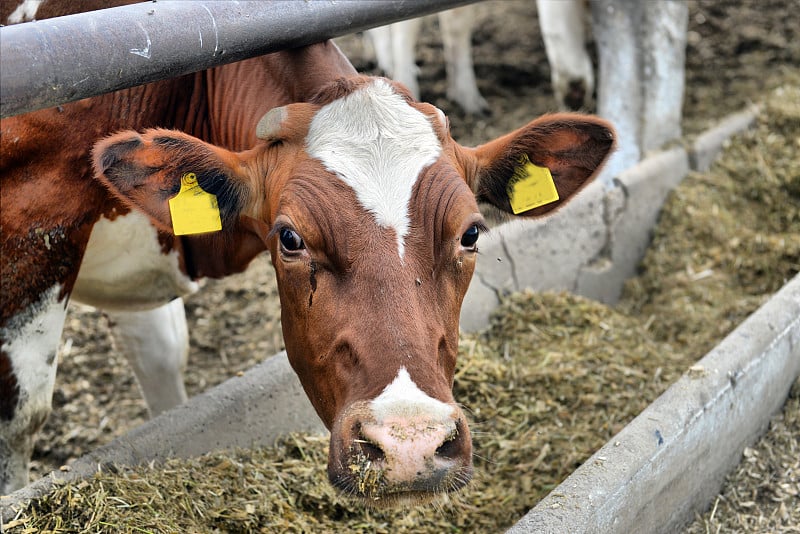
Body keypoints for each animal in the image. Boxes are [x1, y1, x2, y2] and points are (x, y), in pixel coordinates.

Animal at [0, 0, 616, 506]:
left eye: (471, 234)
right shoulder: (31, 233)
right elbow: (21, 418)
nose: (410, 446)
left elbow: (161, 360)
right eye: (290, 239)